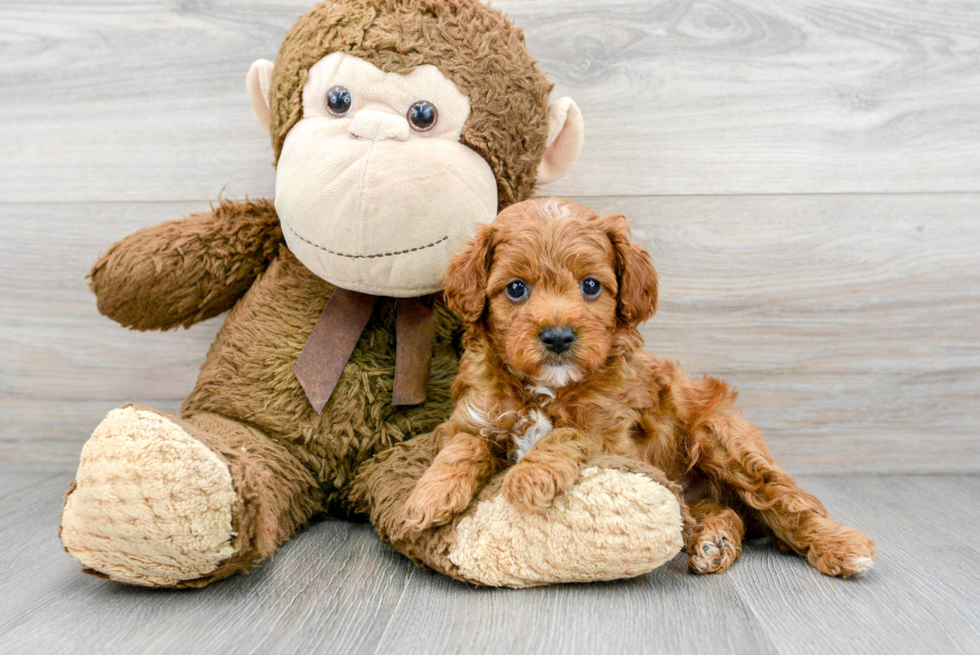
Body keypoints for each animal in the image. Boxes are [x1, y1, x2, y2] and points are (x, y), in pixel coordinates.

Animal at [402, 197, 876, 576]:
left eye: (591, 285)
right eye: (516, 289)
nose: (557, 337)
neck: (547, 387)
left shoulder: (613, 436)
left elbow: (566, 434)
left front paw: (529, 477)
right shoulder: (473, 416)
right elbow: (464, 445)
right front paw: (428, 496)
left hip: (720, 435)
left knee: (786, 499)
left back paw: (841, 545)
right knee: (718, 510)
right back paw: (714, 540)